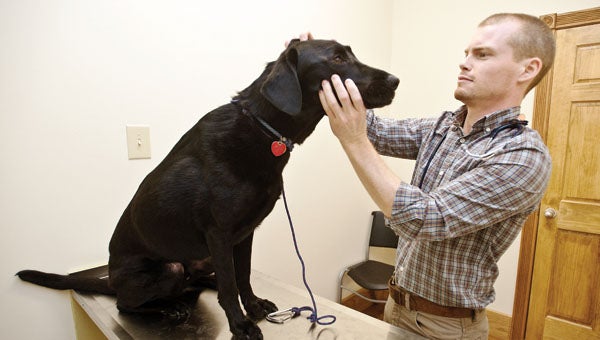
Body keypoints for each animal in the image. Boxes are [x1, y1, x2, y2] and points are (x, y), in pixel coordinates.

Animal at [17, 39, 398, 338]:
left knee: (199, 280)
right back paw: (167, 308)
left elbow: (242, 276)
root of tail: (109, 278)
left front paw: (253, 305)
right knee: (128, 305)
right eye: (337, 59)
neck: (263, 129)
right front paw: (240, 324)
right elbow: (231, 286)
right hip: (169, 269)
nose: (396, 79)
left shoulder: (245, 234)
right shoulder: (220, 232)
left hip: (199, 259)